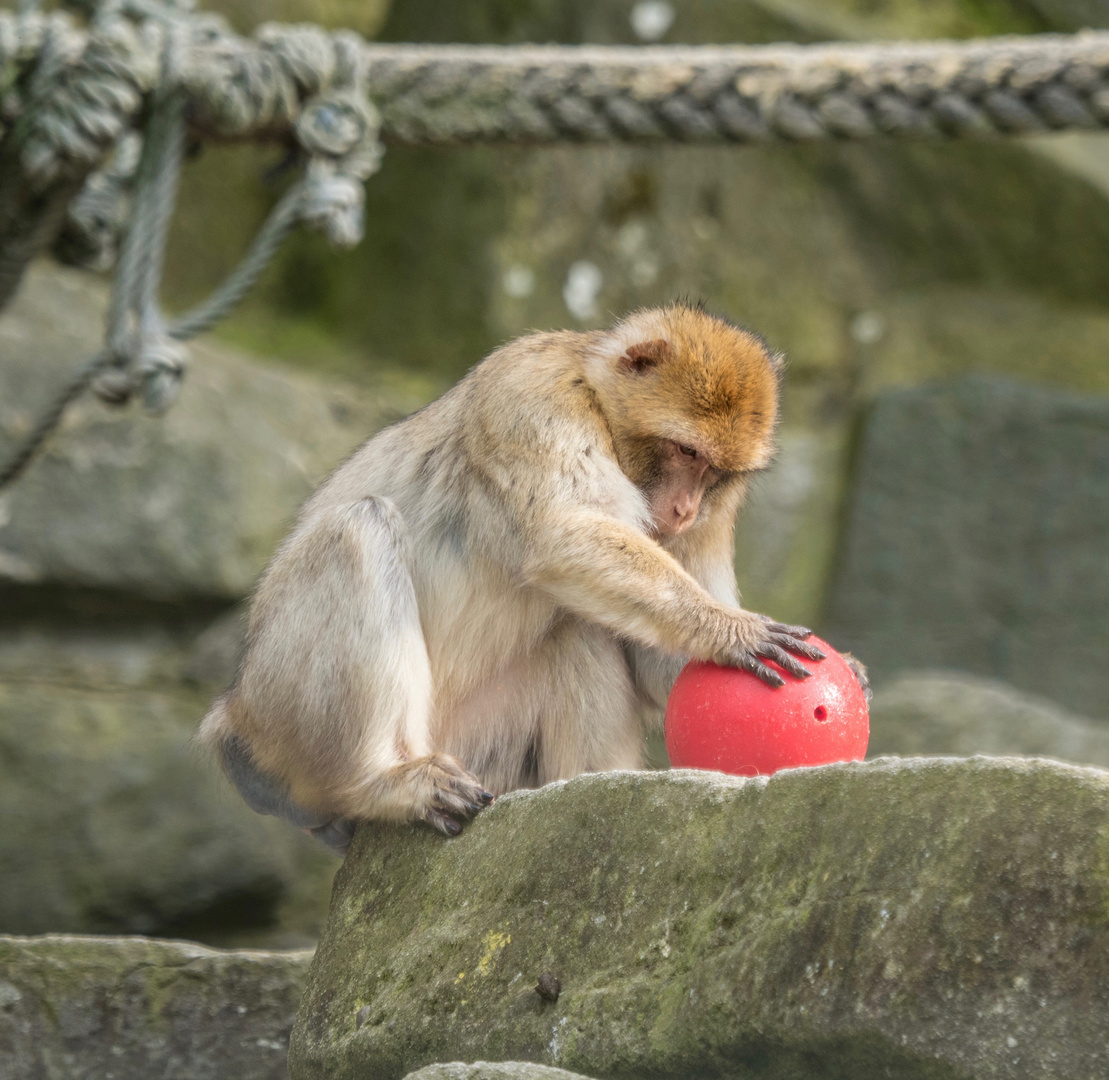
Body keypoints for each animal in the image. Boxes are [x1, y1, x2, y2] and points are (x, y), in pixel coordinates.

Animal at [201, 303, 865, 856]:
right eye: (685, 452)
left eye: (716, 473)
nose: (682, 510)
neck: (598, 403)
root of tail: (235, 719)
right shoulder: (532, 397)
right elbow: (557, 536)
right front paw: (730, 629)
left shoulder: (714, 514)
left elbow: (662, 676)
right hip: (289, 712)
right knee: (358, 531)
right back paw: (383, 783)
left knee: (579, 631)